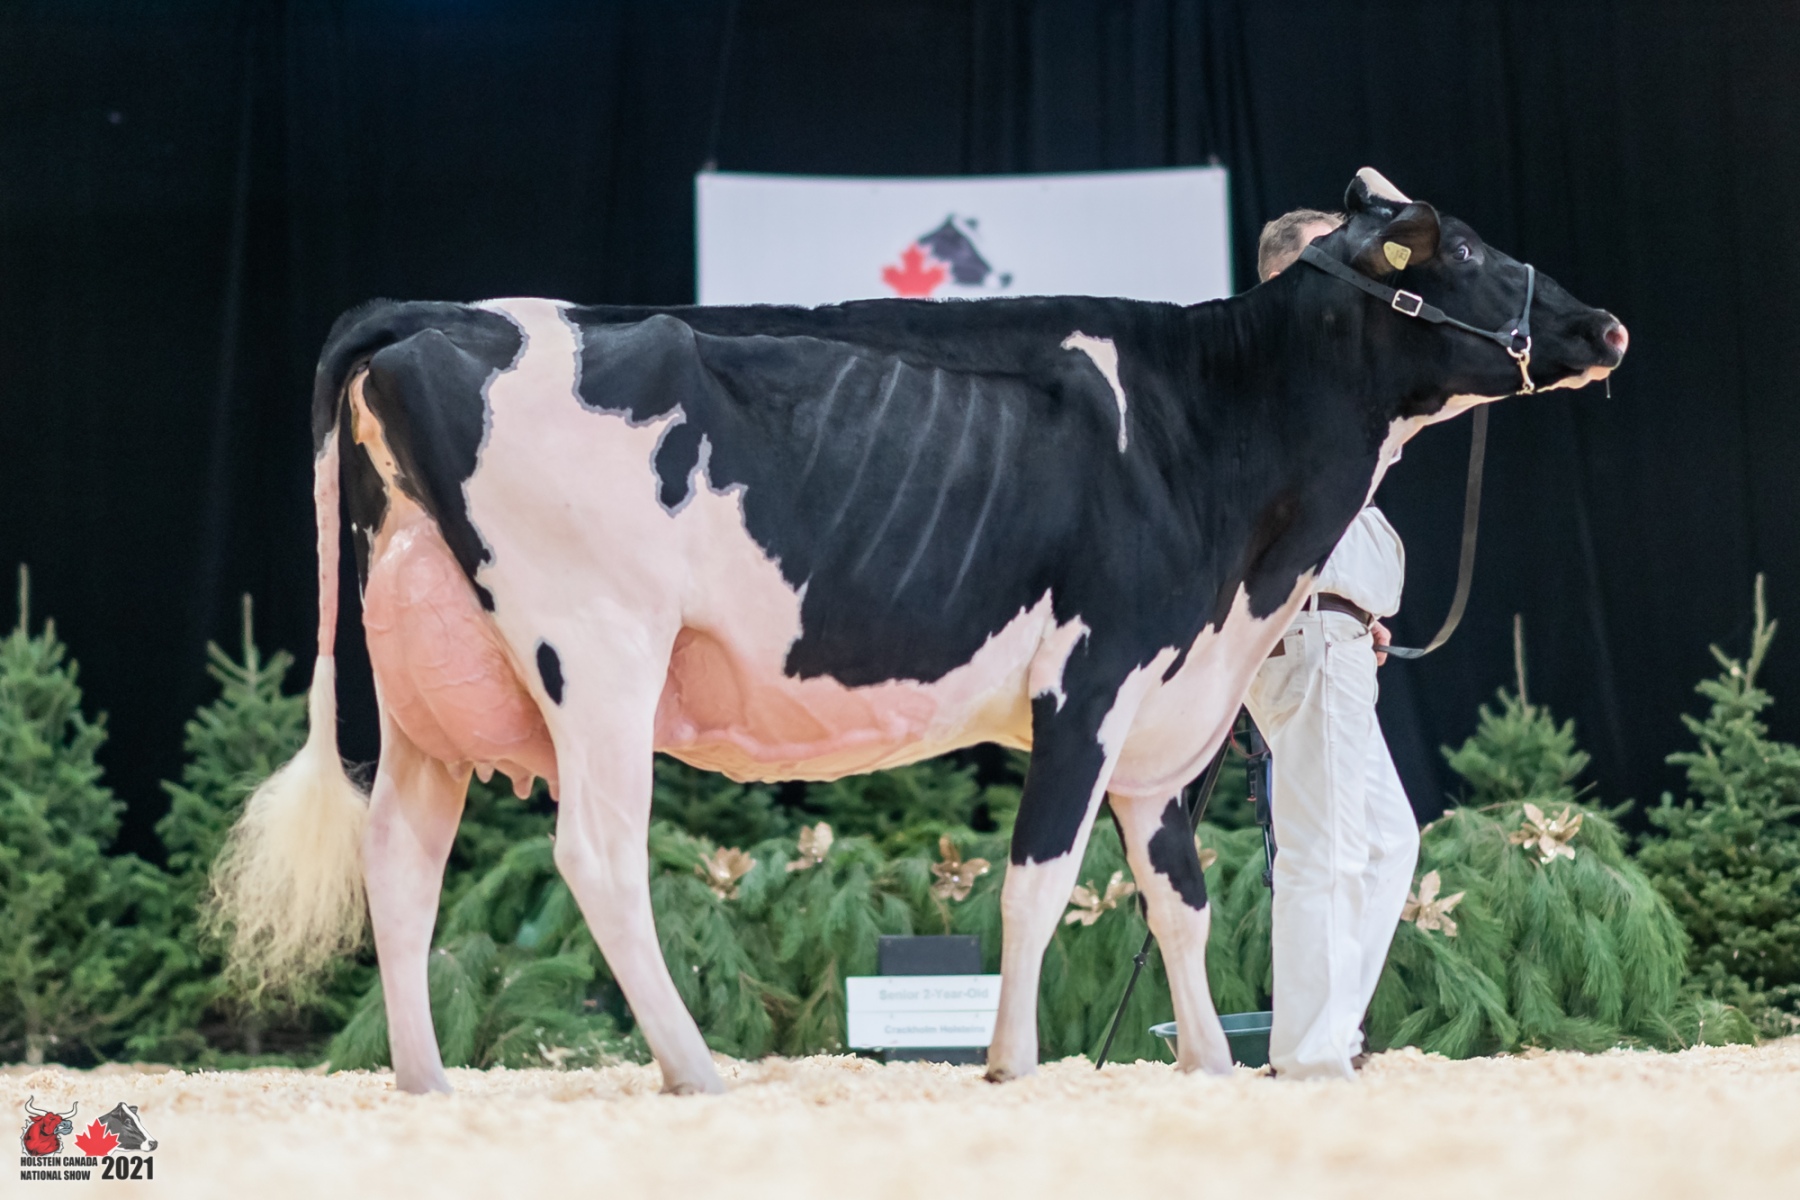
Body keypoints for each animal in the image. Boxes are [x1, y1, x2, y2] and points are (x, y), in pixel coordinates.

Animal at [212, 168, 1625, 1095]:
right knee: (596, 856)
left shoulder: (1173, 713)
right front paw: (1012, 1066)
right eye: (1466, 253)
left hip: (424, 677)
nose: (1605, 323)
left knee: (400, 860)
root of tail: (437, 313)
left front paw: (1215, 1068)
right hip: (597, 650)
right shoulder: (1092, 679)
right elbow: (1040, 880)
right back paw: (697, 1072)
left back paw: (425, 1084)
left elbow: (1181, 900)